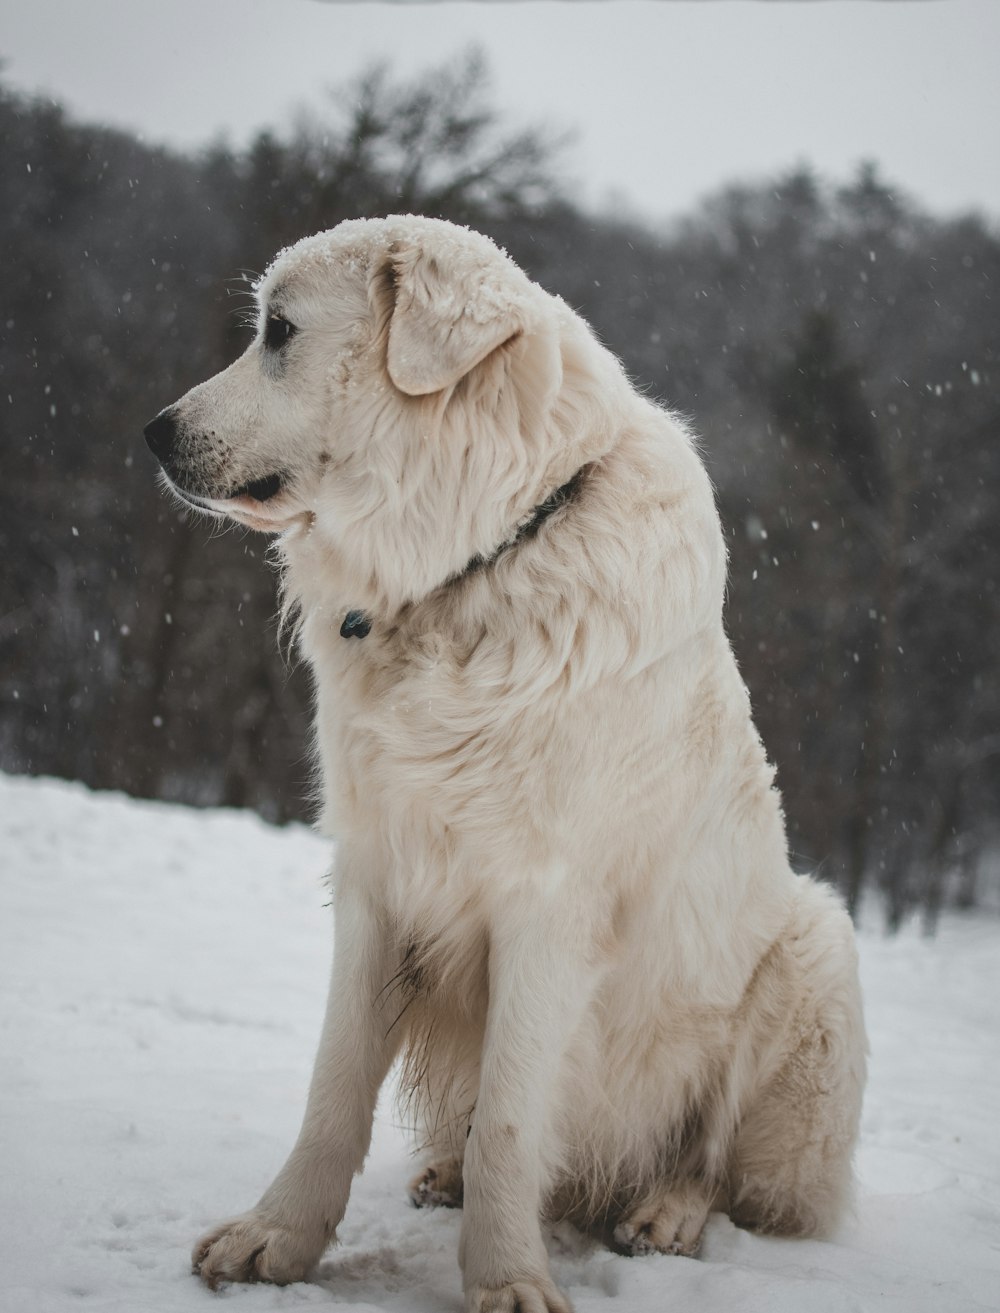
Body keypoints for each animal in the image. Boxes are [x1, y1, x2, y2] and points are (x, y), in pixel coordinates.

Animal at [144, 215, 860, 1313]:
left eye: (280, 331)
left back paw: (664, 1211)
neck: (471, 572)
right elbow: (333, 1090)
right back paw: (447, 1171)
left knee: (708, 1153)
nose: (153, 432)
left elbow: (514, 1122)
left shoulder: (548, 909)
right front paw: (278, 1238)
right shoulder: (376, 881)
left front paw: (508, 1279)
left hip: (813, 950)